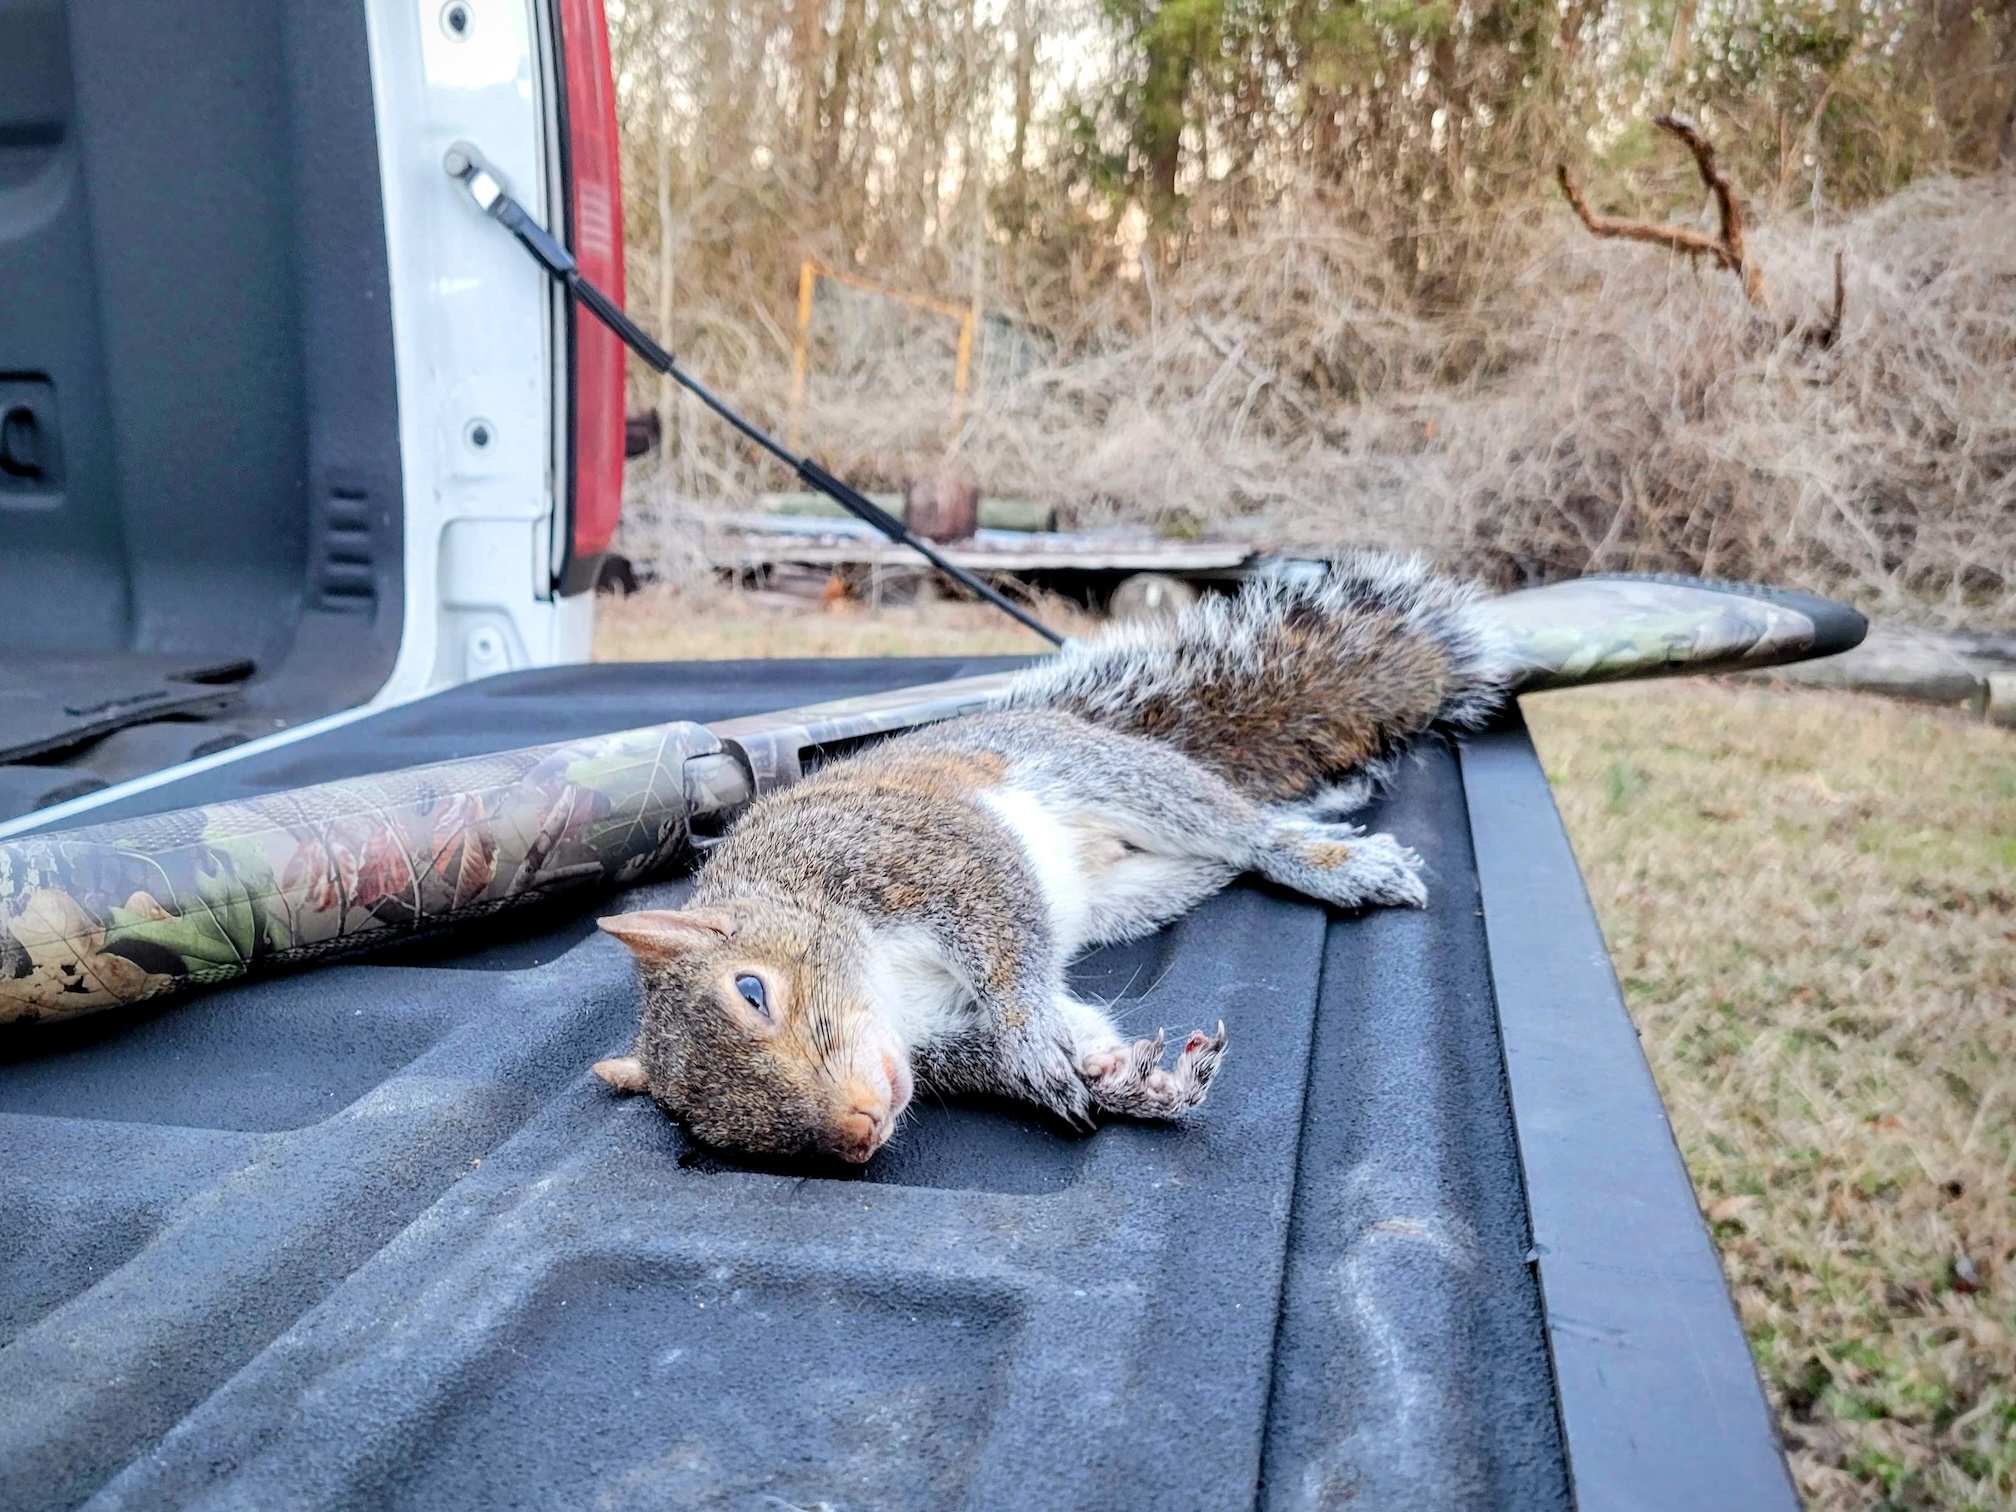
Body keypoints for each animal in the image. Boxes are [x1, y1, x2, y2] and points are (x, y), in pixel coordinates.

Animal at [588, 564, 1507, 1169]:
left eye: (751, 990)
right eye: (721, 1132)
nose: (859, 1133)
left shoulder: (922, 854)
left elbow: (1006, 944)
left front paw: (1033, 1038)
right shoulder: (934, 1040)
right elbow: (1058, 1035)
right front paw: (1122, 1077)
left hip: (1112, 777)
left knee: (1245, 830)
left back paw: (1330, 859)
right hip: (1146, 886)